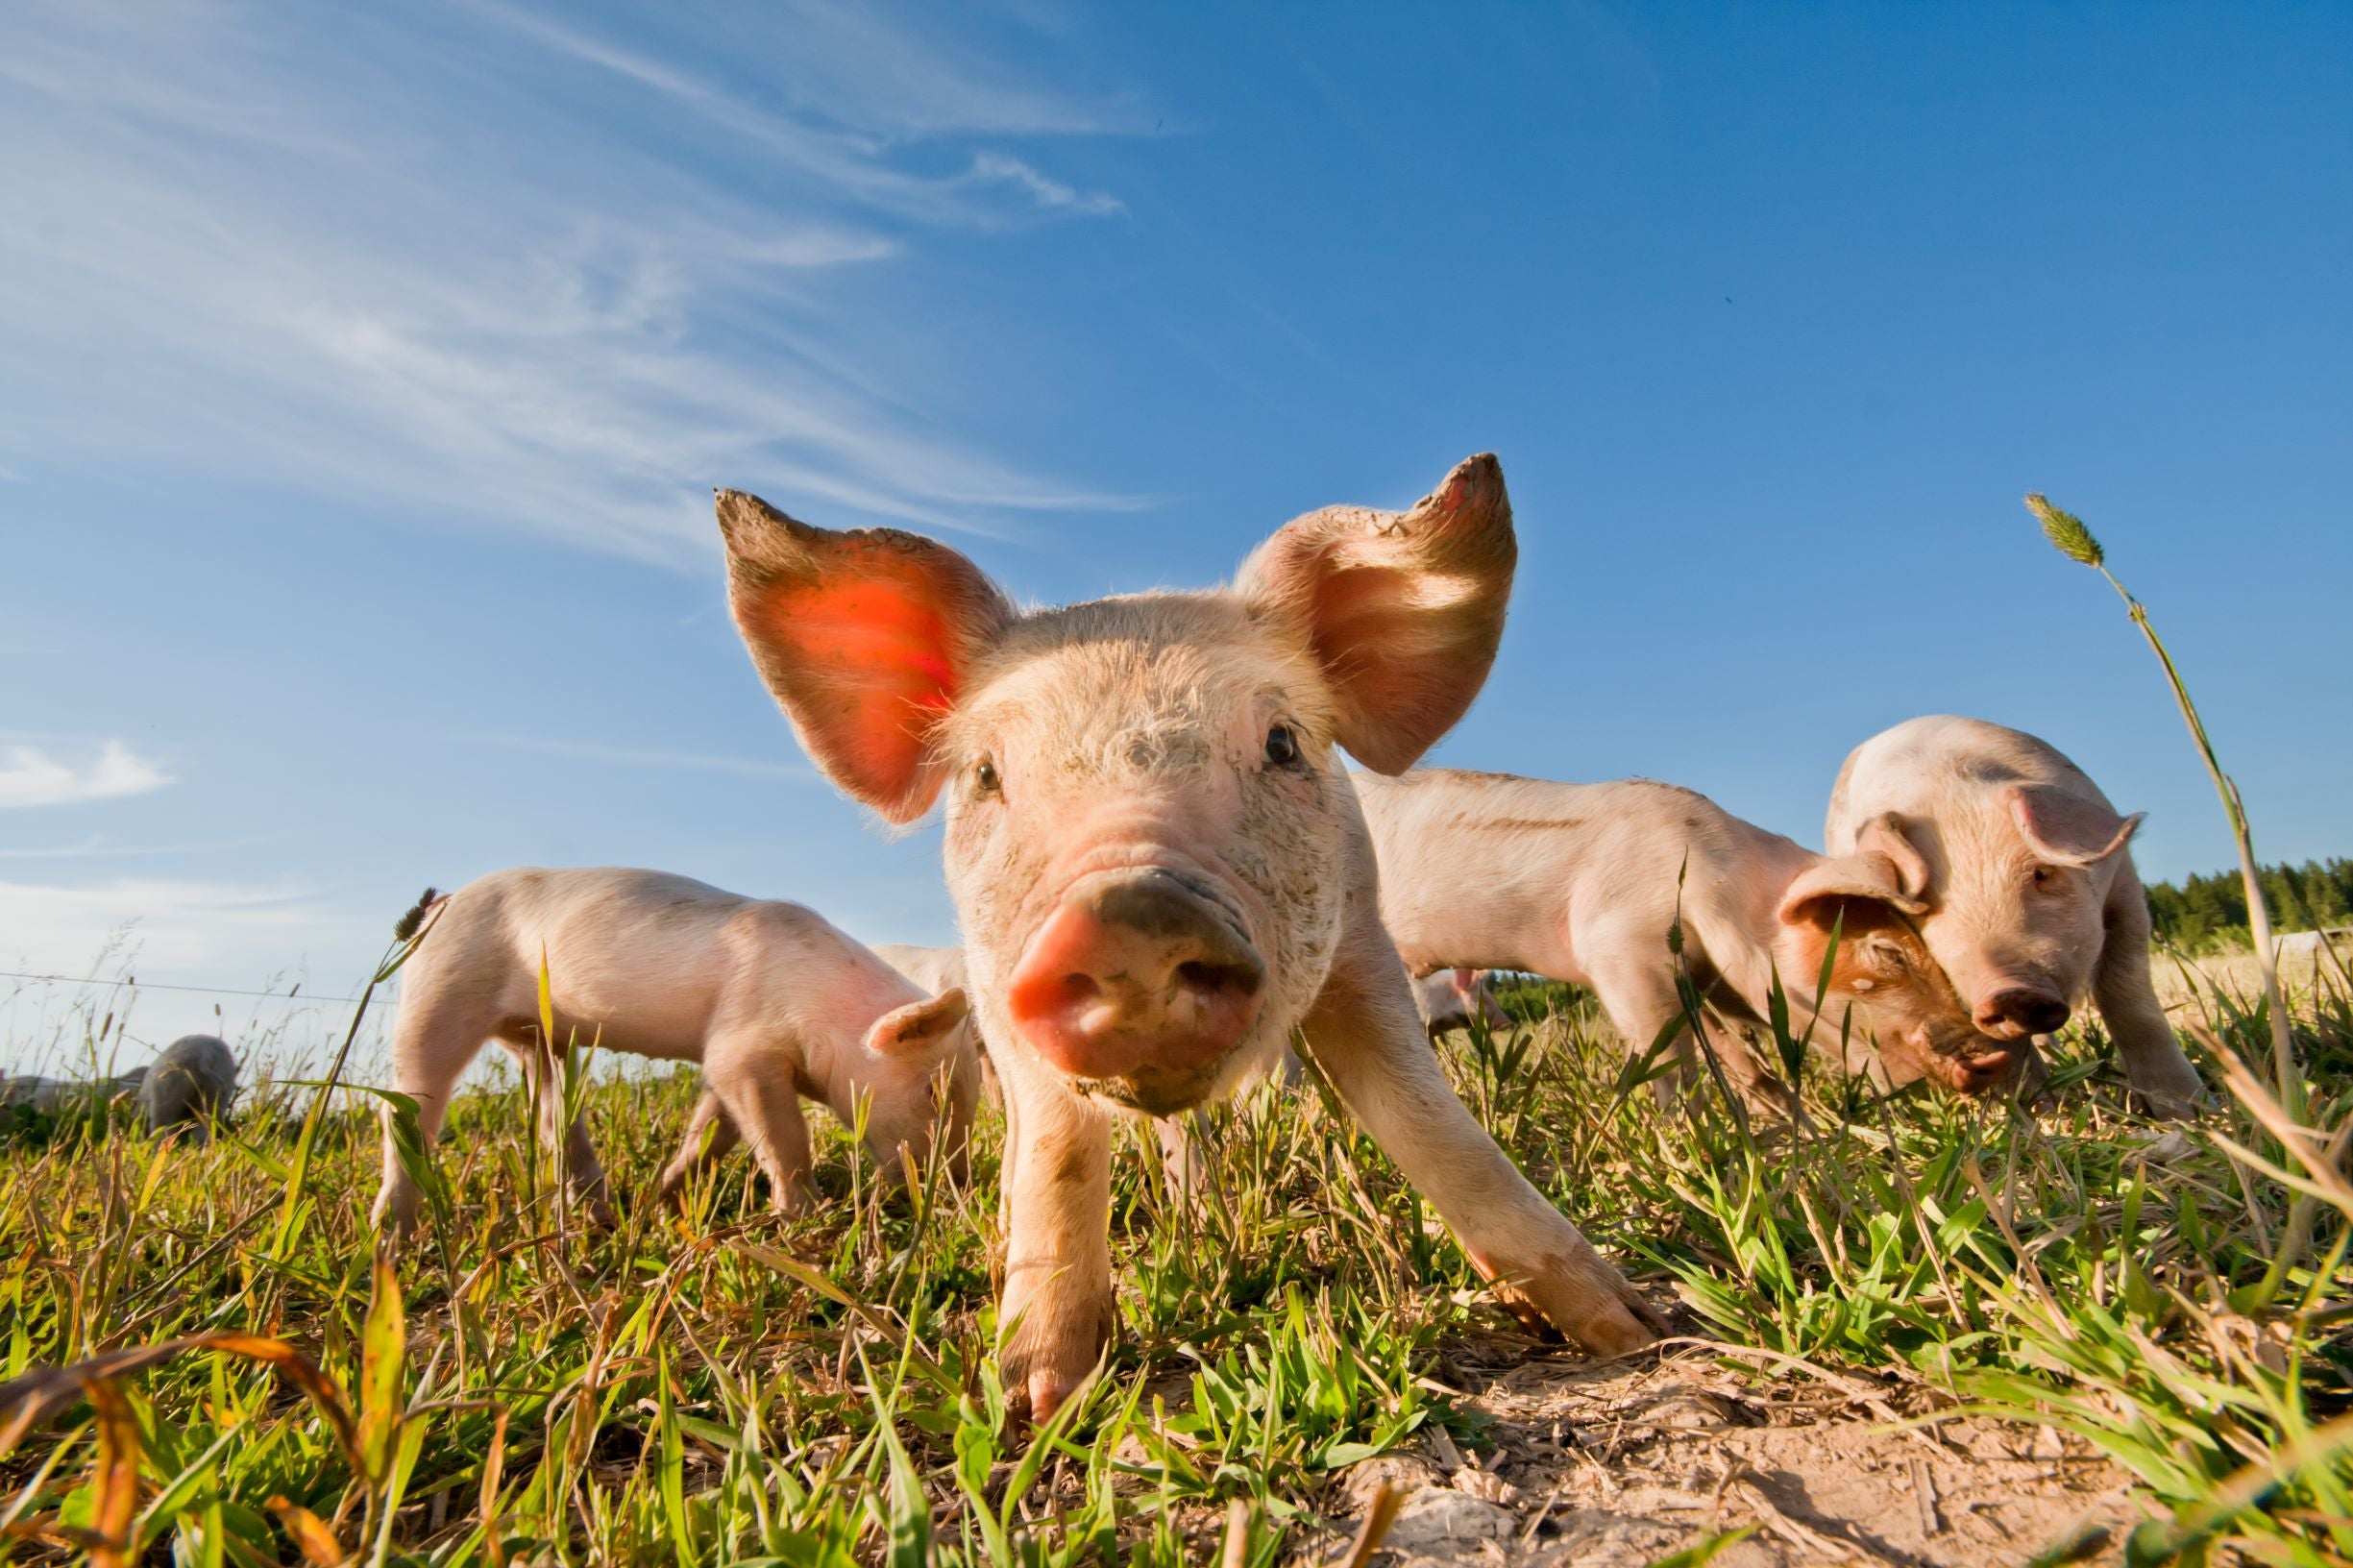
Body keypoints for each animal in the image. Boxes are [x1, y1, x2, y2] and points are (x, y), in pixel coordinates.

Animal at [370, 868, 979, 1232]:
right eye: (933, 1091)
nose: (961, 1184)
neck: (826, 1010)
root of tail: (443, 901)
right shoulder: (742, 1042)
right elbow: (782, 1135)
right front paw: (805, 1218)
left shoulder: (725, 1060)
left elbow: (714, 1129)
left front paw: (661, 1201)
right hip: (440, 987)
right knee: (409, 1105)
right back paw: (390, 1236)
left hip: (541, 1038)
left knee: (553, 1114)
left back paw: (602, 1215)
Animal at [714, 453, 1665, 1420]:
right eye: (984, 774)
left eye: (1282, 743)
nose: (1126, 913)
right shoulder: (995, 986)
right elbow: (1058, 1147)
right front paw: (1037, 1401)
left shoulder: (1361, 939)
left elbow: (1427, 1118)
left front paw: (1631, 1330)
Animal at [1356, 770, 2022, 1101]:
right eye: (1885, 951)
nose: (1995, 1058)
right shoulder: (1618, 949)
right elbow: (1670, 1061)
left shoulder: (1700, 980)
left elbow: (1744, 1062)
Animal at [1825, 715, 2206, 1116]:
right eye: (1926, 908)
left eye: (2041, 873)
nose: (2009, 992)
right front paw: (2038, 1112)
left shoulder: (2123, 884)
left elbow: (2128, 995)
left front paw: (2189, 1113)